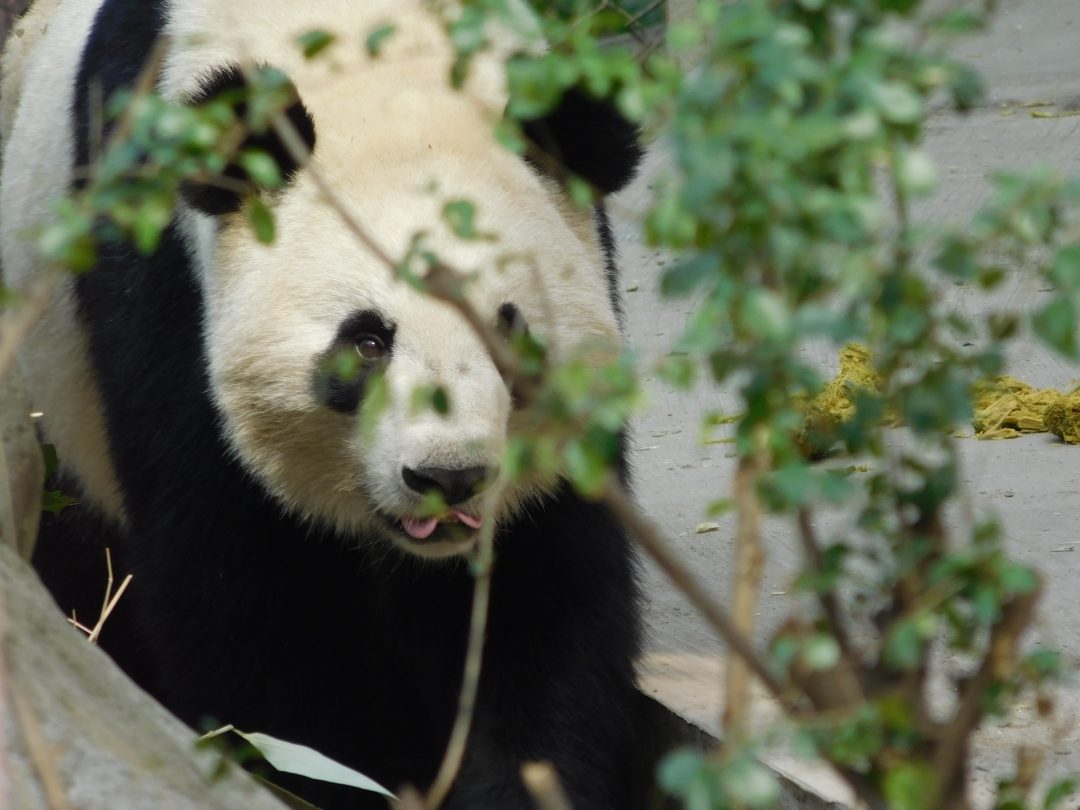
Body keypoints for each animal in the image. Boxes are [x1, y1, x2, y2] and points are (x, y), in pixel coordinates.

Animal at [0, 0, 643, 807]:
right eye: (366, 342)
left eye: (509, 327)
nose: (449, 477)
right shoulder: (166, 283)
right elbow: (248, 603)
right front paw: (354, 773)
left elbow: (544, 596)